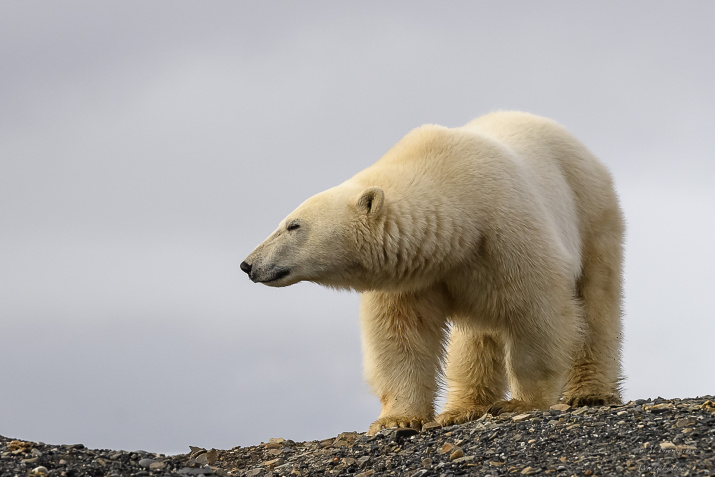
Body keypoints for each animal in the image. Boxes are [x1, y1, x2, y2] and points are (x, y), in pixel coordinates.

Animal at [243, 112, 624, 436]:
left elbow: (538, 314)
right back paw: (463, 408)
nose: (248, 264)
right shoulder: (412, 274)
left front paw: (520, 403)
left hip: (591, 211)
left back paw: (590, 392)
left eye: (293, 226)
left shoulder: (509, 235)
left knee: (597, 301)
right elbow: (401, 336)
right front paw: (396, 419)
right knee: (477, 336)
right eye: (284, 221)